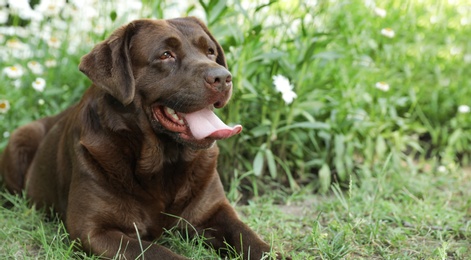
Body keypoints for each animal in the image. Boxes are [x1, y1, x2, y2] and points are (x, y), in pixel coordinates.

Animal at [0, 17, 288, 258]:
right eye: (165, 55)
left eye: (211, 52)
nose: (222, 77)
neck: (163, 162)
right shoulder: (93, 231)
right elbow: (160, 253)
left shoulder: (215, 210)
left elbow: (250, 239)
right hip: (20, 139)